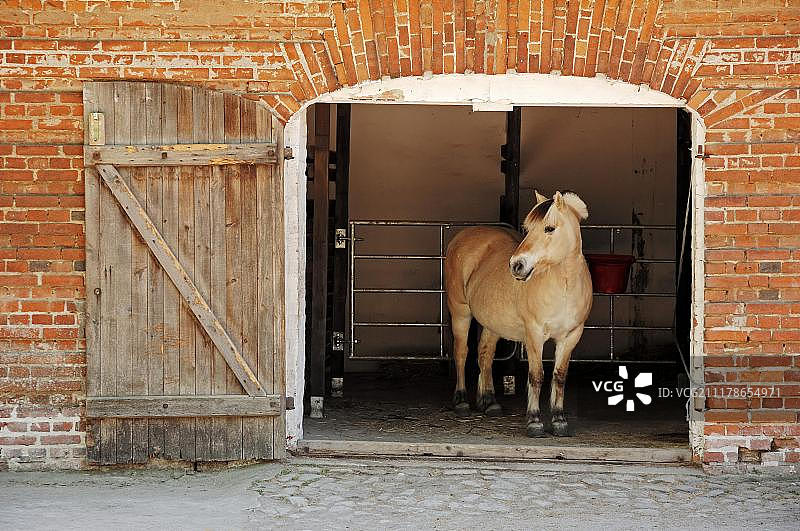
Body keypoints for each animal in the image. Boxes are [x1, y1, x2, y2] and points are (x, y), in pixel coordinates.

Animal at [444, 190, 593, 437]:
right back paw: (462, 400)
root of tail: (464, 236)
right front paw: (534, 421)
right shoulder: (534, 335)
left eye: (549, 228)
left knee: (485, 354)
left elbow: (559, 376)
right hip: (460, 312)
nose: (516, 265)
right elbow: (537, 375)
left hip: (492, 323)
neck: (564, 285)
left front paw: (559, 420)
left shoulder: (571, 336)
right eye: (527, 229)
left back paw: (489, 401)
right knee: (462, 352)